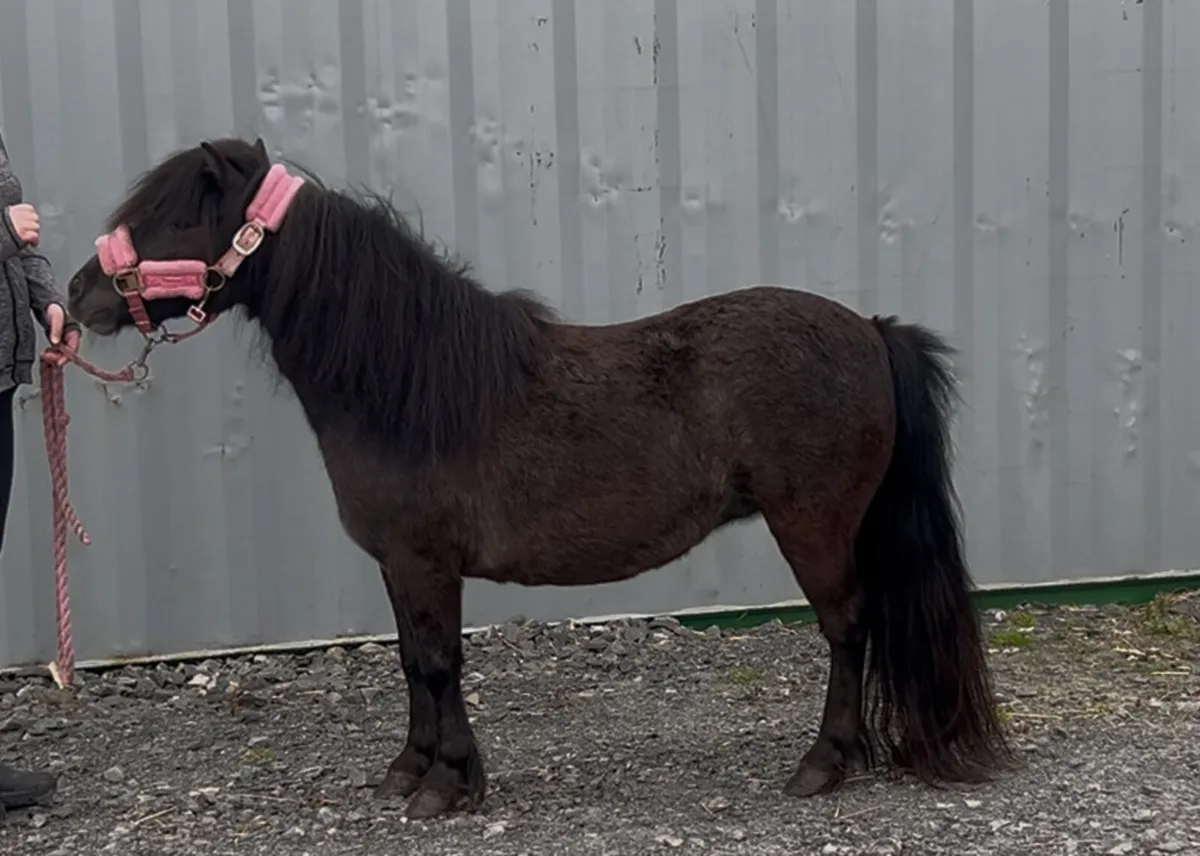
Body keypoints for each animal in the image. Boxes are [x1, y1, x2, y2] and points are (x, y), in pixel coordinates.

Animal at [65, 137, 1010, 820]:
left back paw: (823, 764)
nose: (79, 296)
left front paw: (448, 784)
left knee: (847, 628)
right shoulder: (397, 566)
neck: (405, 382)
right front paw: (410, 769)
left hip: (811, 524)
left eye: (172, 219)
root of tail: (869, 329)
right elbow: (410, 661)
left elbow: (440, 663)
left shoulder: (425, 562)